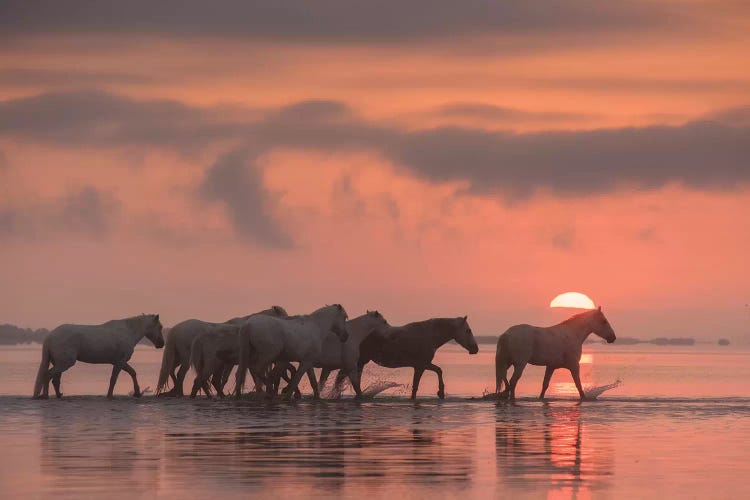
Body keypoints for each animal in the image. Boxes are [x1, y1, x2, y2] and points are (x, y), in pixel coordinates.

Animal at [32, 314, 164, 400]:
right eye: (160, 327)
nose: (161, 344)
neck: (128, 331)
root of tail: (50, 337)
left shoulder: (120, 362)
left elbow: (133, 373)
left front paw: (137, 393)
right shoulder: (119, 362)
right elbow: (113, 379)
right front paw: (109, 395)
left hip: (59, 363)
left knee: (54, 379)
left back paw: (58, 395)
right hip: (64, 363)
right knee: (48, 375)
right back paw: (45, 395)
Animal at [156, 306, 288, 396]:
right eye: (283, 317)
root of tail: (175, 330)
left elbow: (225, 379)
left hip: (178, 358)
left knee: (171, 370)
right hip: (186, 360)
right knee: (180, 374)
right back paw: (180, 393)